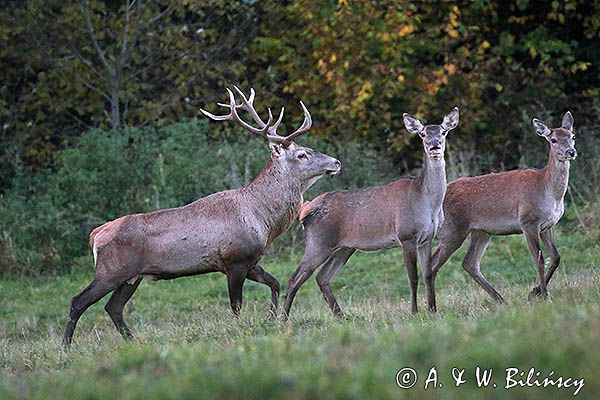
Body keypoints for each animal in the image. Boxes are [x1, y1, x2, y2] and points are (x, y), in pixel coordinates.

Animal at [63, 87, 342, 346]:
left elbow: (274, 283)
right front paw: (240, 330)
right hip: (110, 271)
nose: (336, 162)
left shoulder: (250, 260)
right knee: (78, 301)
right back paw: (66, 348)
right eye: (302, 154)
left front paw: (273, 318)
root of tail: (96, 234)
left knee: (113, 307)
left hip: (131, 277)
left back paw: (133, 341)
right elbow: (236, 305)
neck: (262, 219)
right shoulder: (234, 259)